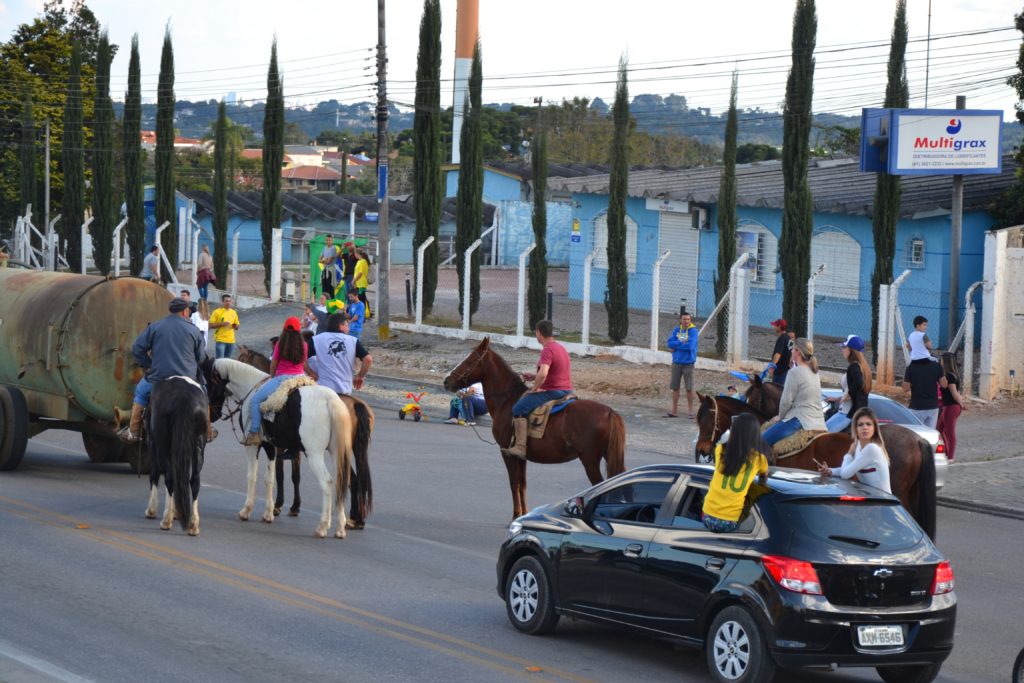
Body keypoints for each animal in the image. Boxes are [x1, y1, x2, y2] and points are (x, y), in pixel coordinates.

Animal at [144, 376, 209, 536]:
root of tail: (185, 397)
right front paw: (178, 512)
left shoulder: (152, 442)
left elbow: (154, 475)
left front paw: (152, 510)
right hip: (198, 445)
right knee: (194, 481)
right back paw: (193, 524)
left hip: (161, 445)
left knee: (170, 478)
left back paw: (166, 520)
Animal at [203, 358, 355, 539]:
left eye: (207, 381)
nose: (212, 415)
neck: (250, 386)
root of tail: (330, 400)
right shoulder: (270, 446)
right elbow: (269, 478)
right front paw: (268, 514)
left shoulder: (253, 446)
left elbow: (252, 476)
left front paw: (246, 511)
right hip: (337, 452)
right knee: (342, 482)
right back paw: (340, 528)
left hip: (314, 454)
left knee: (327, 482)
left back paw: (322, 526)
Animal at [235, 346, 374, 527]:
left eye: (241, 358)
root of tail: (355, 404)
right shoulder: (294, 450)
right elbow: (295, 476)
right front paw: (292, 506)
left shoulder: (278, 447)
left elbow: (280, 474)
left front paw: (278, 506)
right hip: (350, 451)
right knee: (355, 480)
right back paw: (356, 519)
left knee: (350, 480)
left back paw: (350, 518)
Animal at [443, 337, 626, 520]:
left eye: (470, 360)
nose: (446, 381)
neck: (507, 400)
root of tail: (609, 412)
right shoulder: (521, 457)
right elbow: (522, 484)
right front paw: (524, 514)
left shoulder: (507, 453)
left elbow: (514, 483)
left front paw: (515, 516)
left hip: (590, 460)